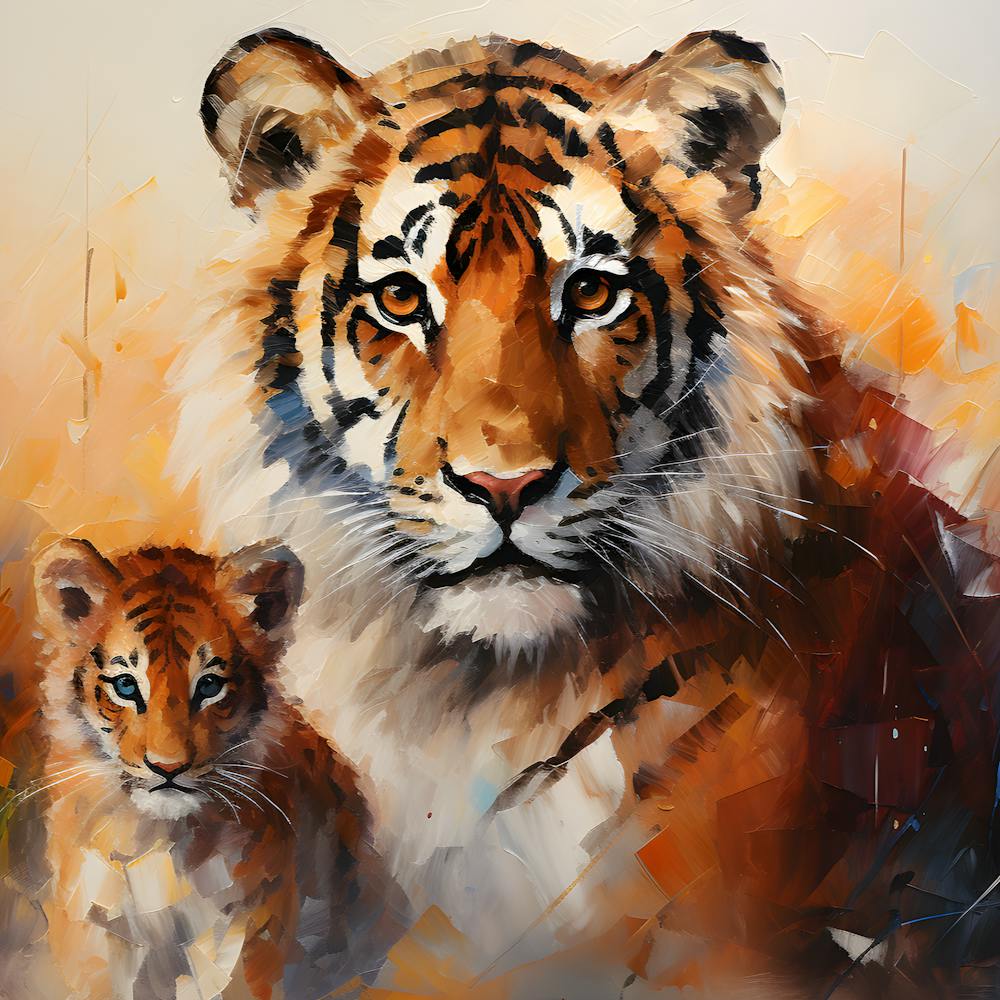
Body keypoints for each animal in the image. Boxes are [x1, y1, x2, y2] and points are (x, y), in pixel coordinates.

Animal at [25, 538, 401, 1000]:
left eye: (209, 685)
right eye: (126, 685)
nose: (167, 768)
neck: (159, 842)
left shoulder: (246, 923)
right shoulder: (95, 924)